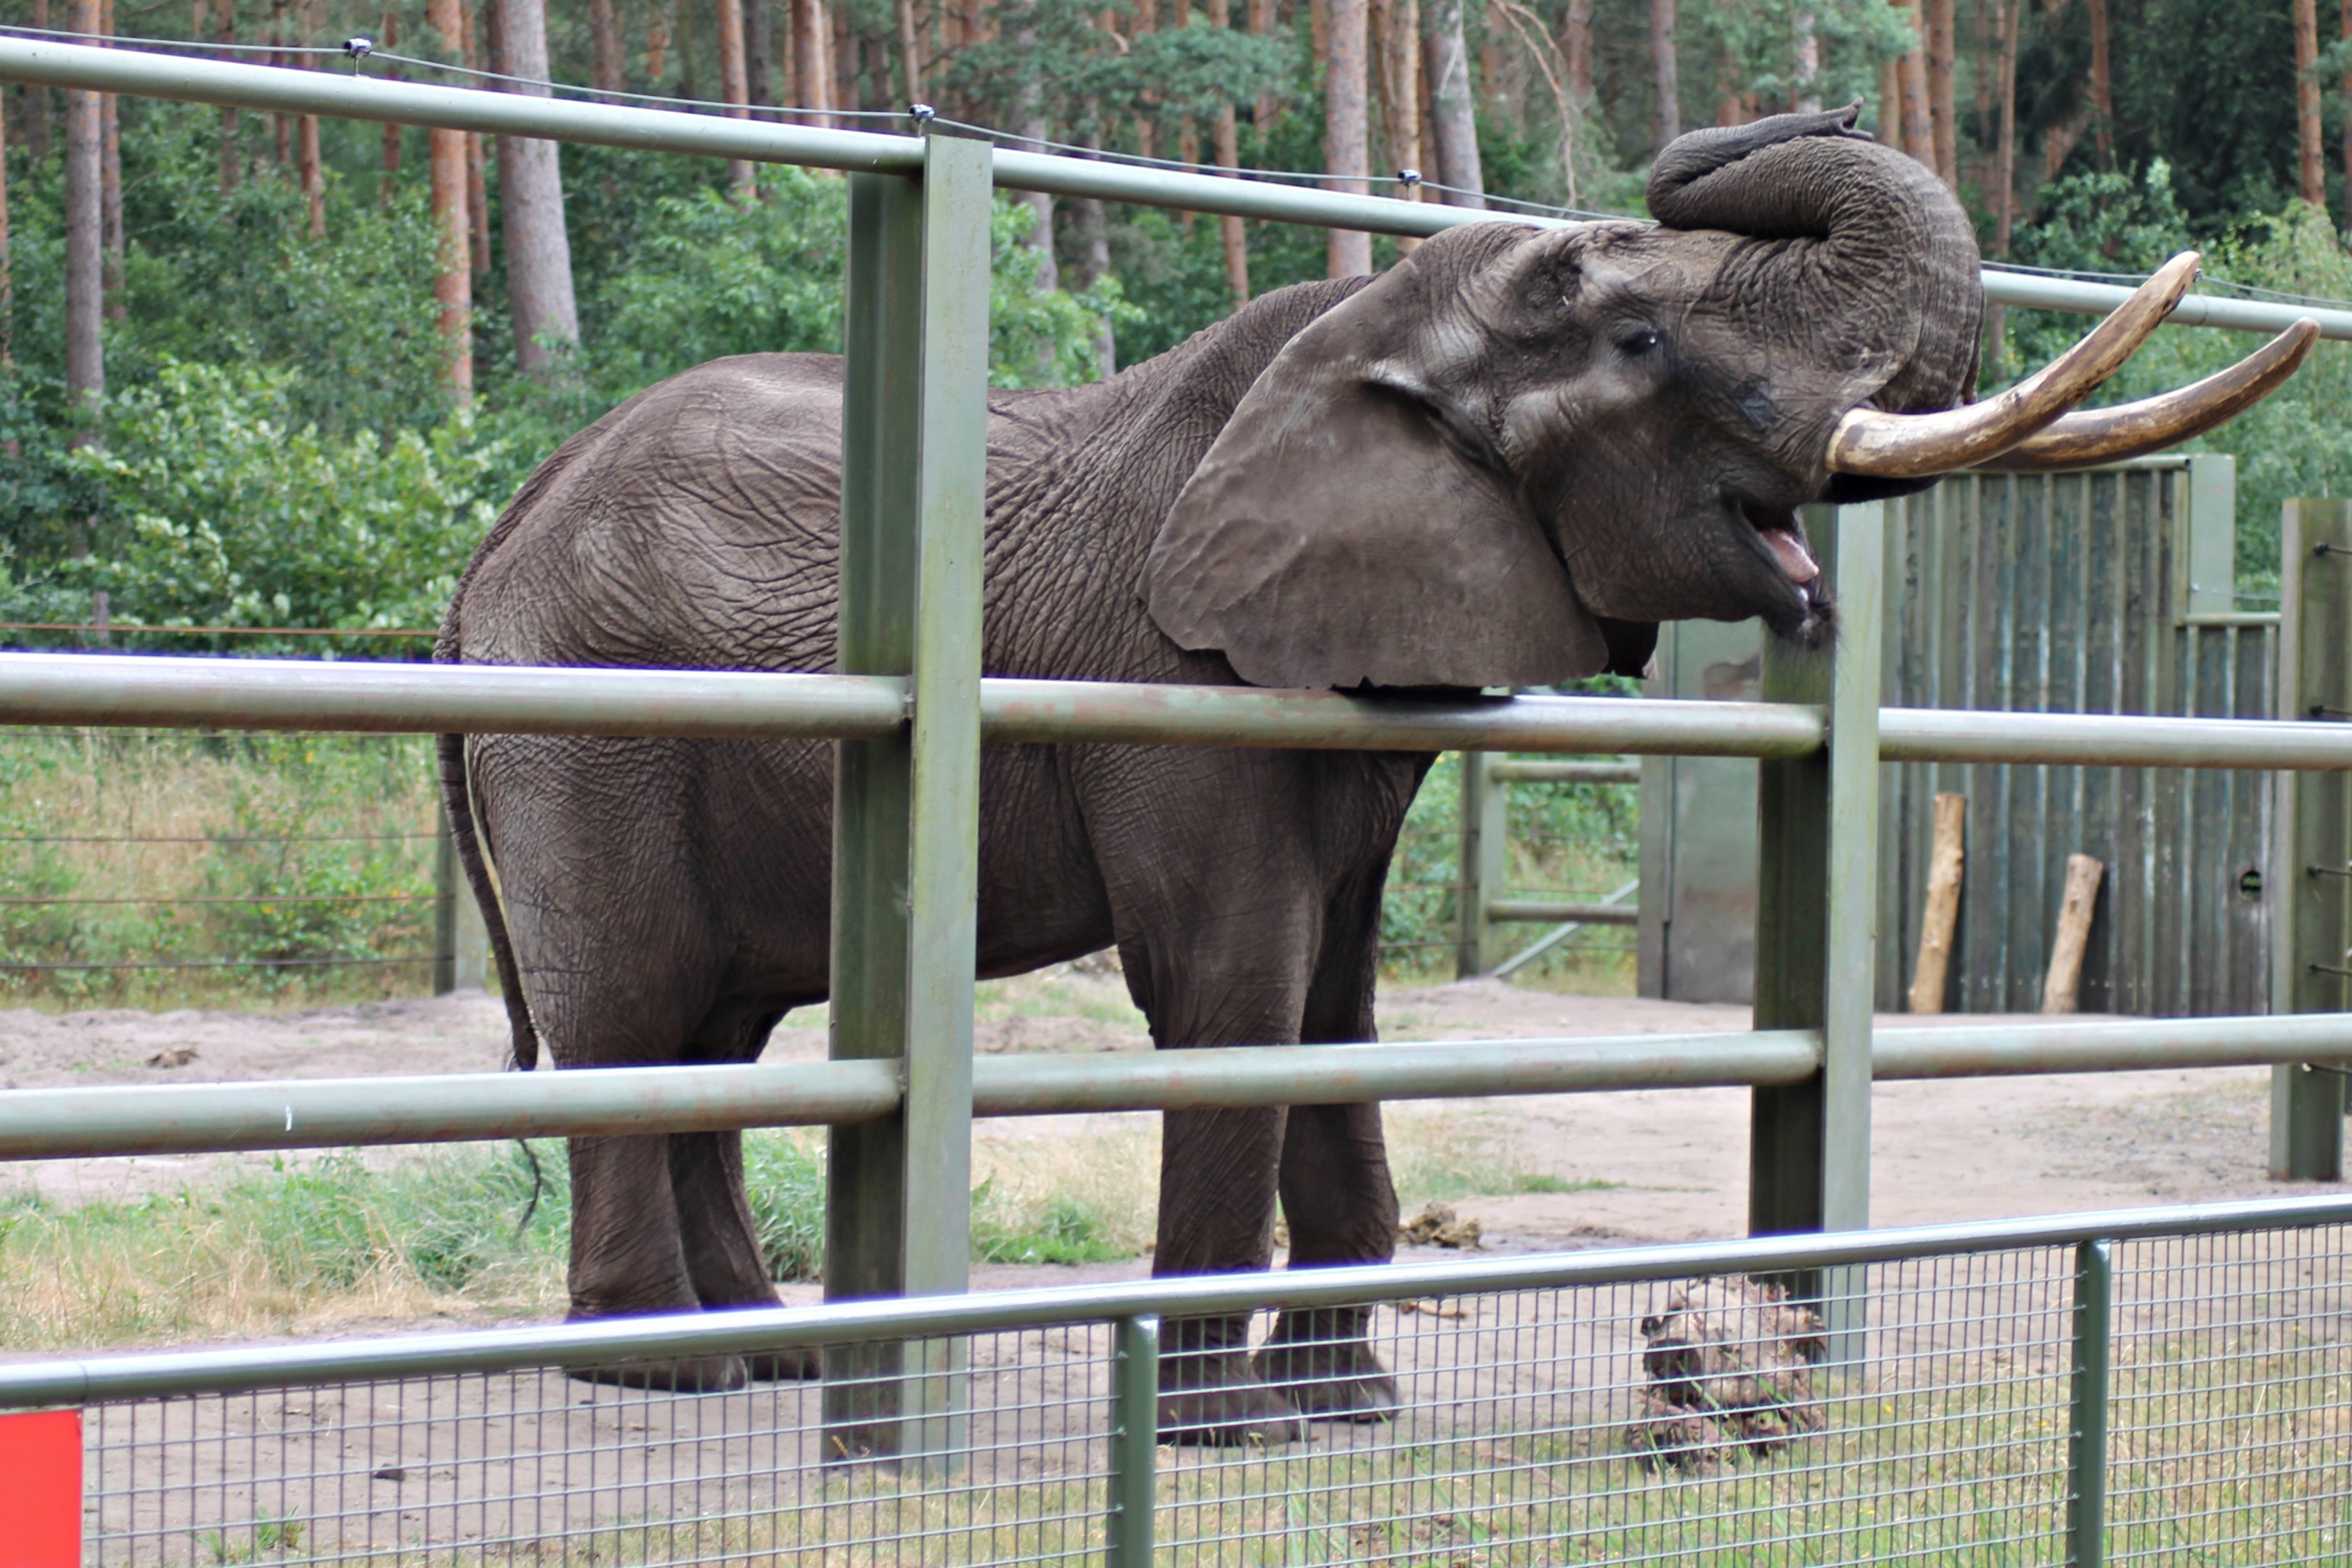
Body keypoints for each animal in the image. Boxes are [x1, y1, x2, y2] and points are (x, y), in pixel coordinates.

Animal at [436, 106, 2302, 1443]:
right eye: (1637, 340)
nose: (1798, 107)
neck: (1368, 326)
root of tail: (491, 547)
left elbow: (1334, 997)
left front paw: (1347, 1411)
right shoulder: (1174, 673)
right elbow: (1236, 989)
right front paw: (1223, 1434)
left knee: (713, 1026)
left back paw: (767, 1357)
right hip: (593, 719)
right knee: (636, 1003)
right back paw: (662, 1372)